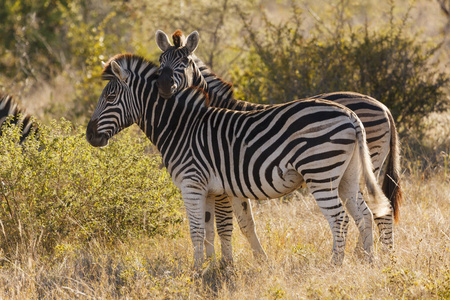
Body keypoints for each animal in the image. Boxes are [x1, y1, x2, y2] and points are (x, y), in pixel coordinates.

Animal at [86, 52, 392, 266]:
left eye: (110, 97)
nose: (89, 136)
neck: (181, 126)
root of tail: (350, 115)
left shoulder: (191, 184)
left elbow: (196, 230)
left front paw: (196, 273)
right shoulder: (211, 189)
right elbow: (210, 230)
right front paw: (212, 269)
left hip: (321, 171)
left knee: (340, 218)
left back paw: (335, 265)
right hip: (348, 174)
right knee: (365, 214)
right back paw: (369, 262)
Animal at [156, 28, 402, 262]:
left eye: (184, 61)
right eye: (161, 61)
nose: (164, 85)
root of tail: (383, 107)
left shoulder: (222, 181)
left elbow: (227, 223)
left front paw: (230, 263)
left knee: (376, 210)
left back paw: (372, 254)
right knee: (377, 209)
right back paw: (379, 254)